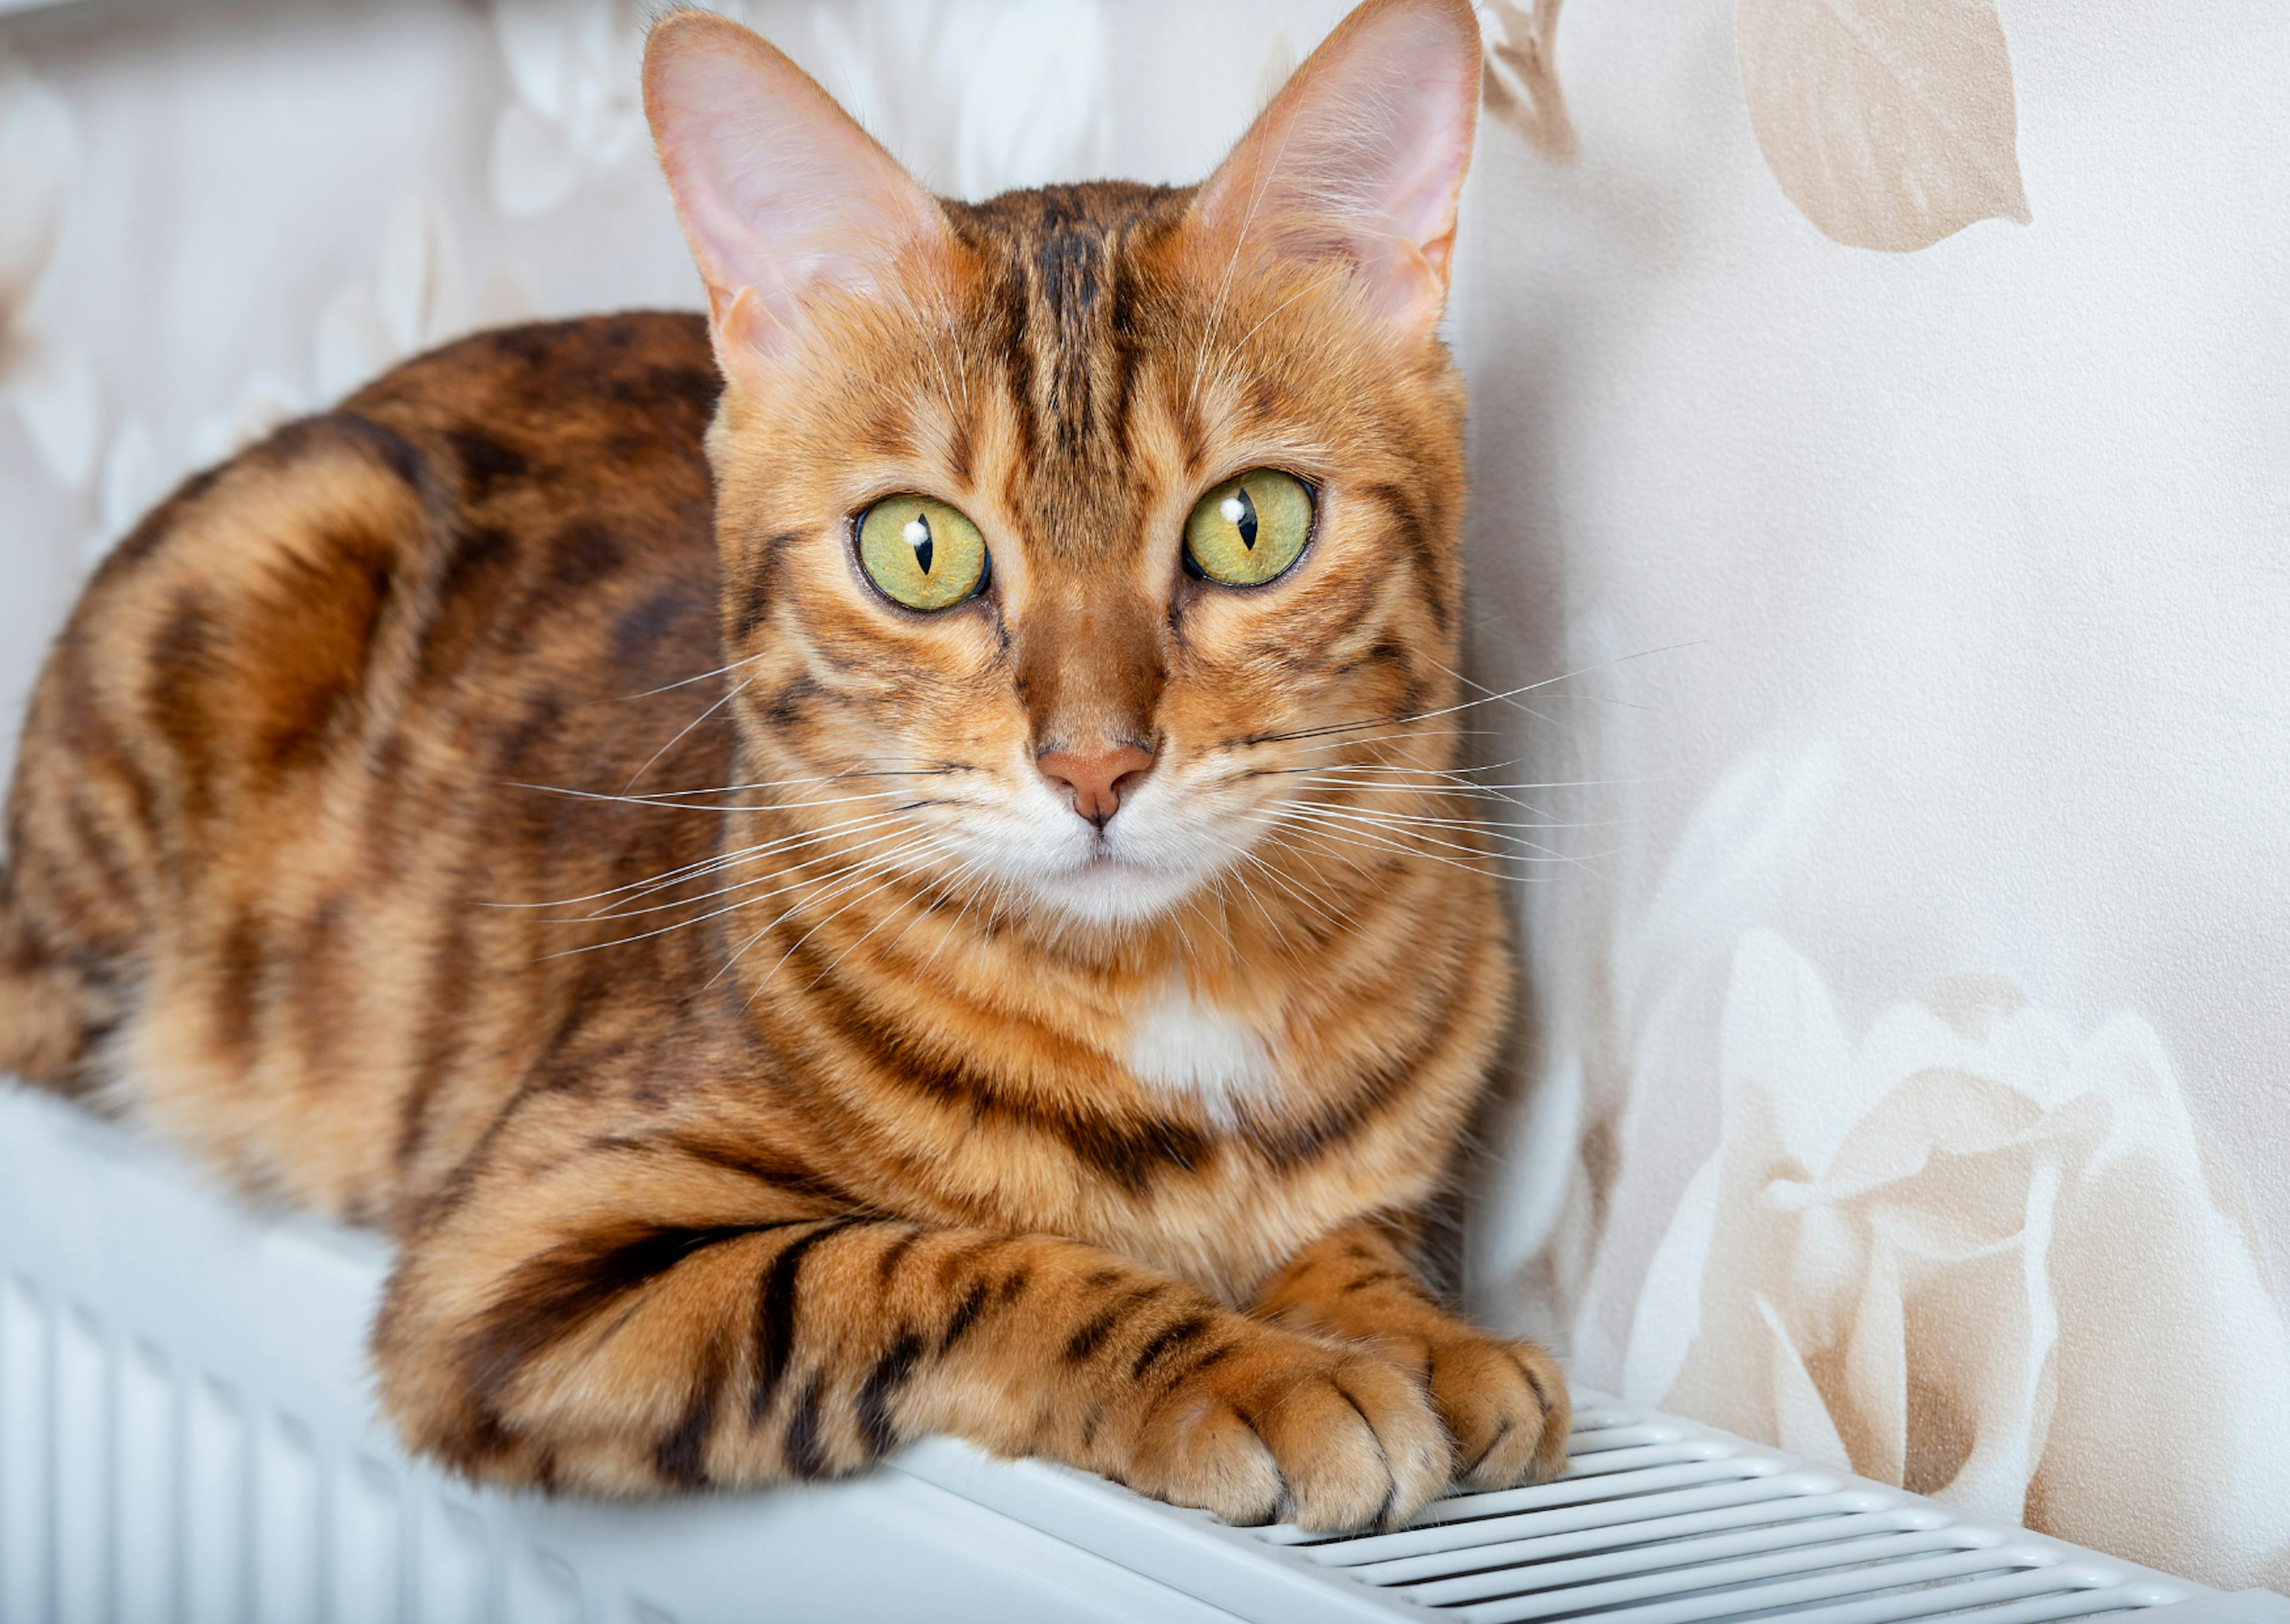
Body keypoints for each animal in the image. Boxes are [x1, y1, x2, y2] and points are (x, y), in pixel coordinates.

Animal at [0, 0, 1566, 1530]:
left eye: (1252, 525)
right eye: (920, 549)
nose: (1095, 767)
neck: (1184, 1005)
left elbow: (1354, 1236)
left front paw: (1422, 1332)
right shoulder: (526, 1256)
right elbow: (943, 1258)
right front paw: (1255, 1367)